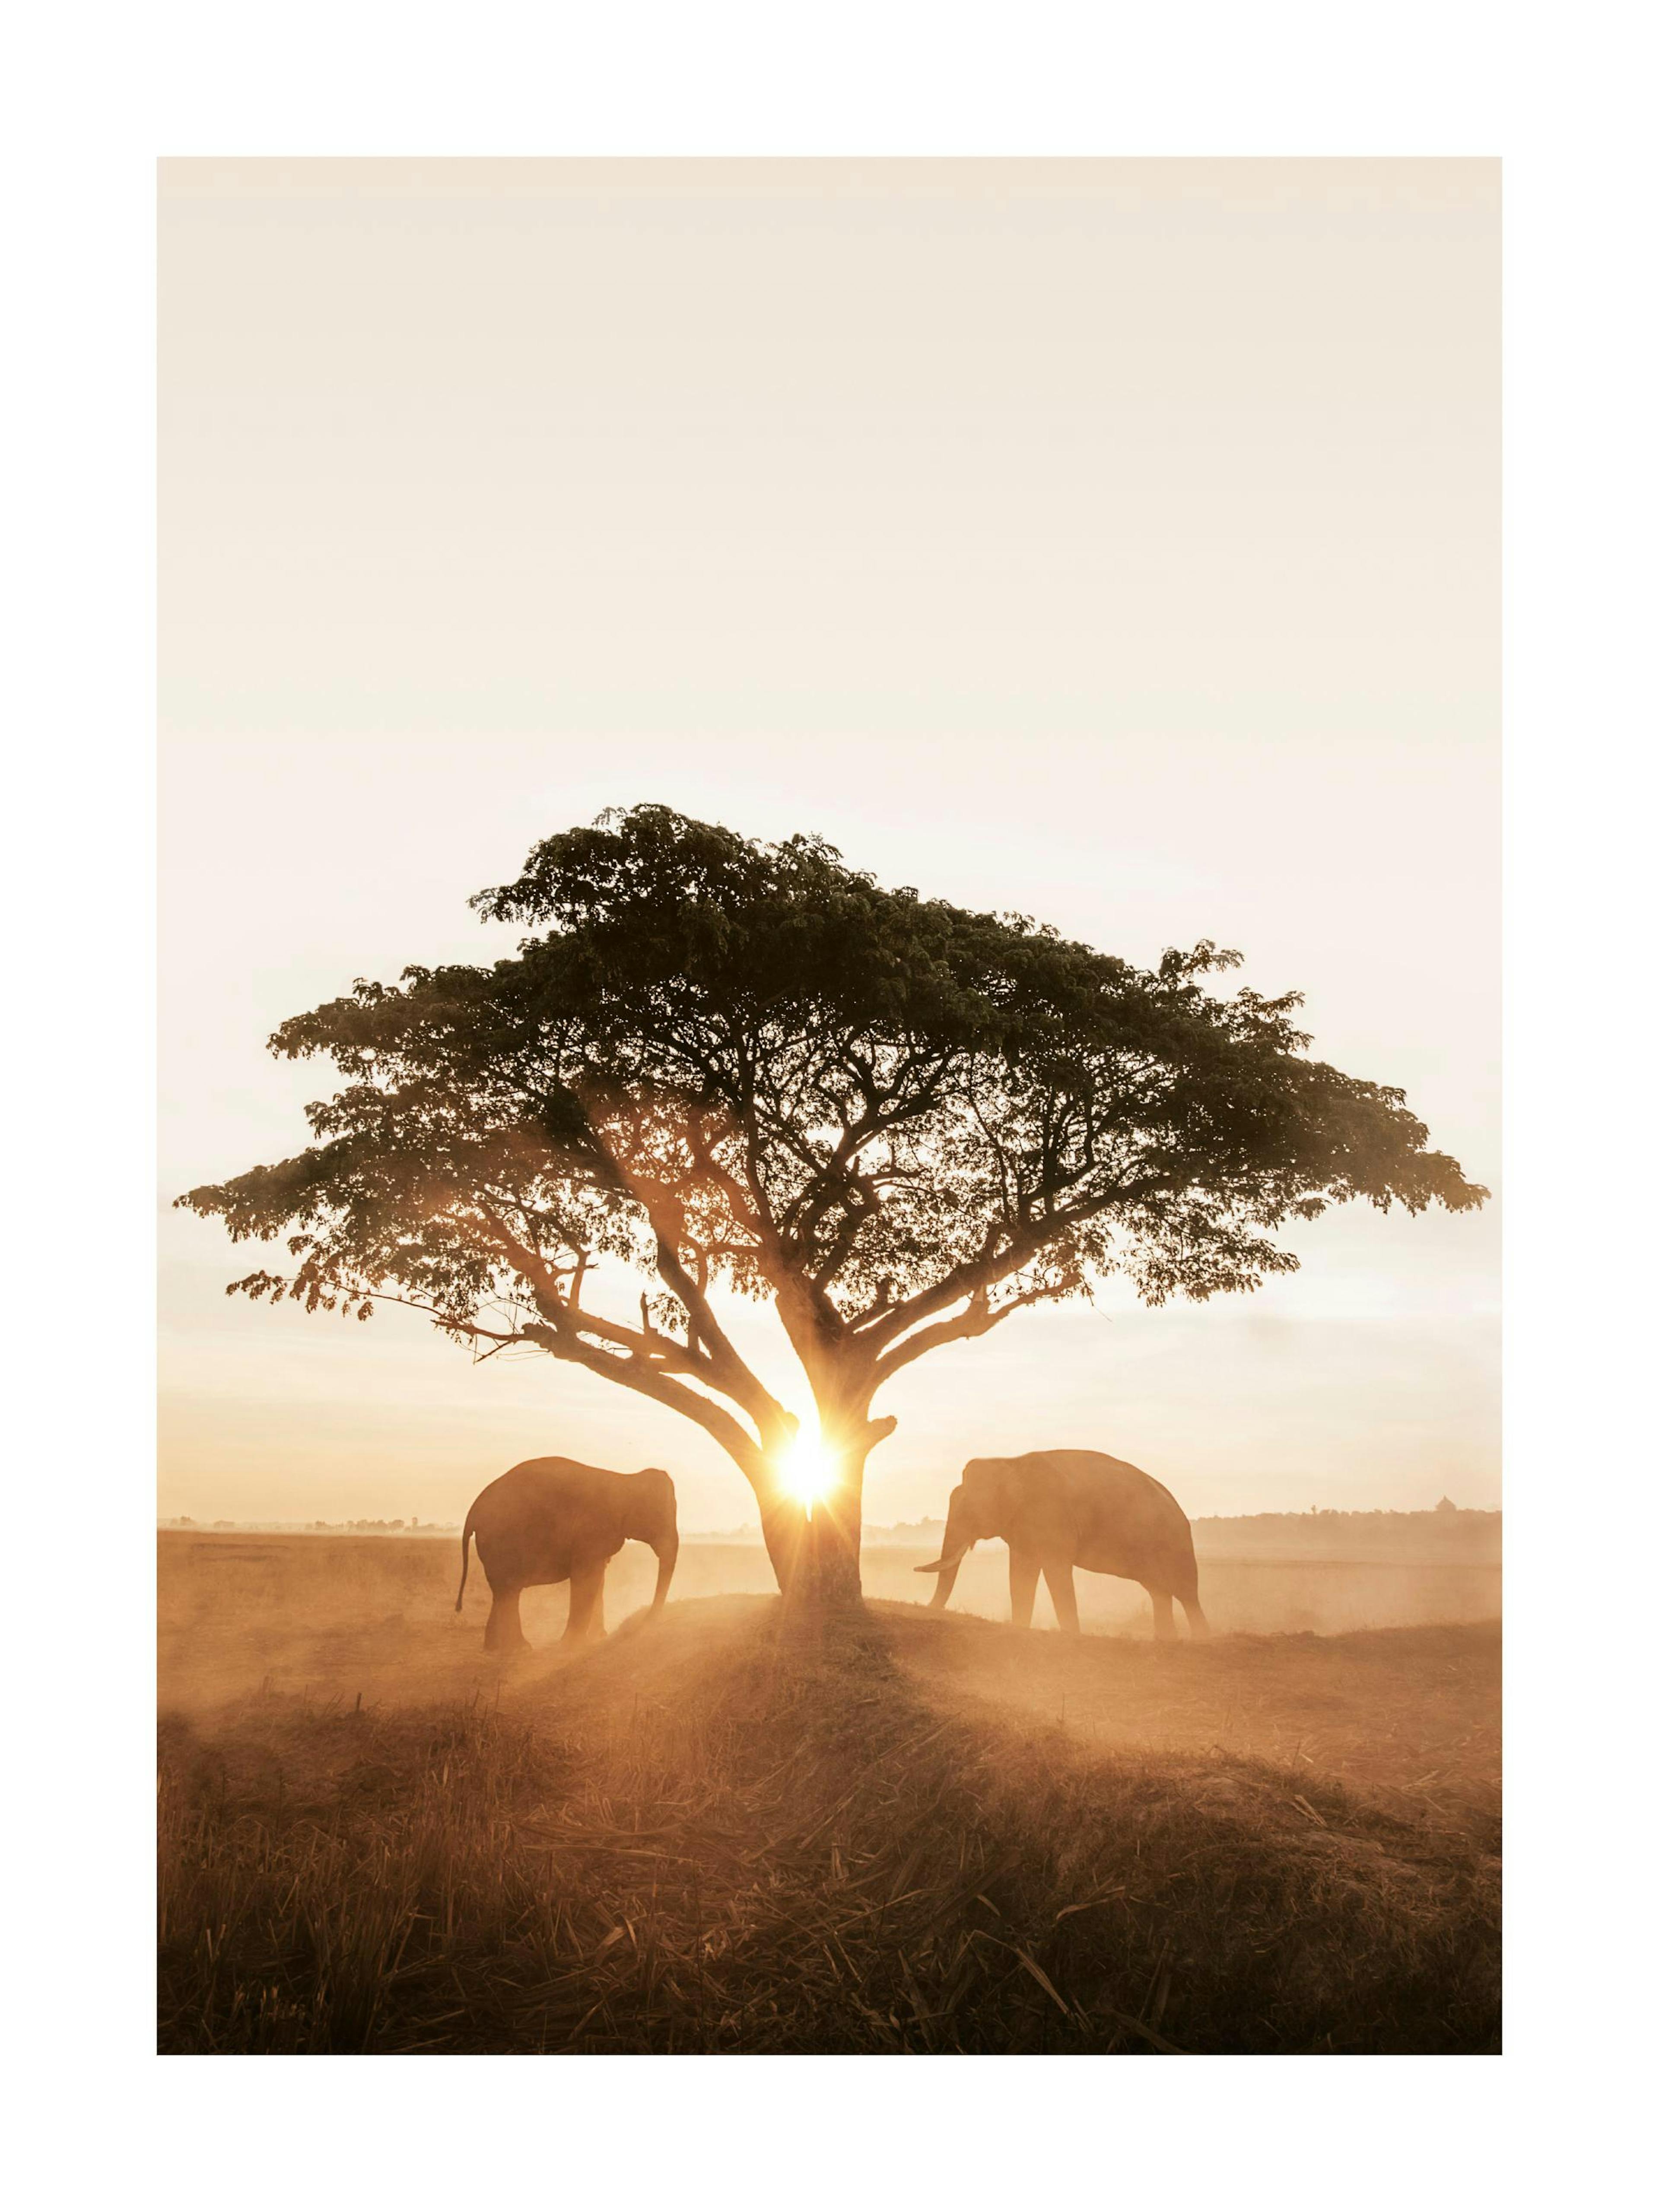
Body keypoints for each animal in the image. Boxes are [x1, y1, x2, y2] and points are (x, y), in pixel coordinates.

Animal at [454, 1457, 678, 1653]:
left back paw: (498, 1650)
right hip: (501, 1541)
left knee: (504, 1592)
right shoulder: (591, 1530)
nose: (644, 1622)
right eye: (661, 1517)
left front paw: (596, 1639)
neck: (625, 1480)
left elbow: (599, 1578)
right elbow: (588, 1579)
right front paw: (573, 1646)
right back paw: (518, 1649)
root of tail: (473, 1512)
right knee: (509, 1591)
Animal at [916, 1449, 1208, 1640]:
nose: (924, 1607)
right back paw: (1167, 1641)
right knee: (1159, 1592)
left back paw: (1200, 1641)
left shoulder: (1051, 1516)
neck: (1011, 1463)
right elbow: (1021, 1573)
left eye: (968, 1510)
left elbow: (1057, 1571)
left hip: (1176, 1543)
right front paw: (1020, 1628)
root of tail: (1180, 1509)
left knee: (1187, 1593)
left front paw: (1072, 1635)